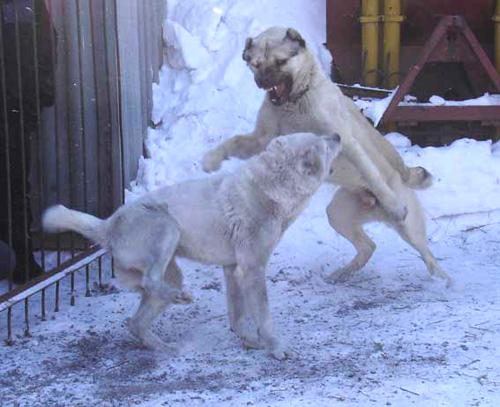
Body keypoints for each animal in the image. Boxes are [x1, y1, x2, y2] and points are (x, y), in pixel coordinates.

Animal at [44, 132, 340, 358]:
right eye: (323, 143)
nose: (337, 135)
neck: (271, 189)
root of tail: (108, 225)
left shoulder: (233, 269)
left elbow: (237, 315)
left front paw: (249, 340)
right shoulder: (253, 269)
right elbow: (264, 317)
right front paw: (276, 347)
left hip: (170, 273)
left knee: (135, 322)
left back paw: (165, 346)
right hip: (167, 228)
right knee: (151, 283)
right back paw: (179, 299)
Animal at [203, 27, 454, 286]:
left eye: (281, 61)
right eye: (255, 64)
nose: (262, 82)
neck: (294, 102)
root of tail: (401, 176)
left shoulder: (347, 144)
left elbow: (372, 175)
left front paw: (394, 205)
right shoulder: (261, 140)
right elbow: (232, 142)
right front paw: (211, 159)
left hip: (408, 229)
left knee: (429, 257)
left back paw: (445, 281)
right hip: (337, 214)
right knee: (369, 247)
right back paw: (342, 273)